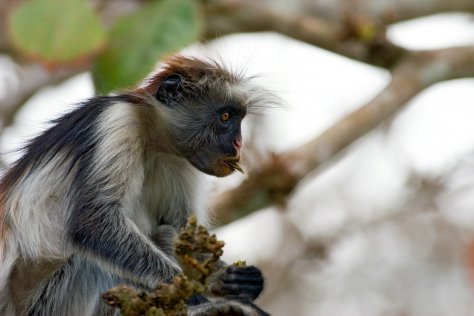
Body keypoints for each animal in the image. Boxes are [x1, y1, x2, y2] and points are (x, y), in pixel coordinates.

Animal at [0, 55, 270, 314]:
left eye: (237, 119)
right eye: (225, 117)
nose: (238, 144)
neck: (152, 138)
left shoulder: (178, 159)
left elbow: (180, 228)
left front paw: (231, 280)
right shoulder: (118, 121)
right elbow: (93, 223)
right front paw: (192, 296)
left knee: (165, 232)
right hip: (49, 303)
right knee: (89, 259)